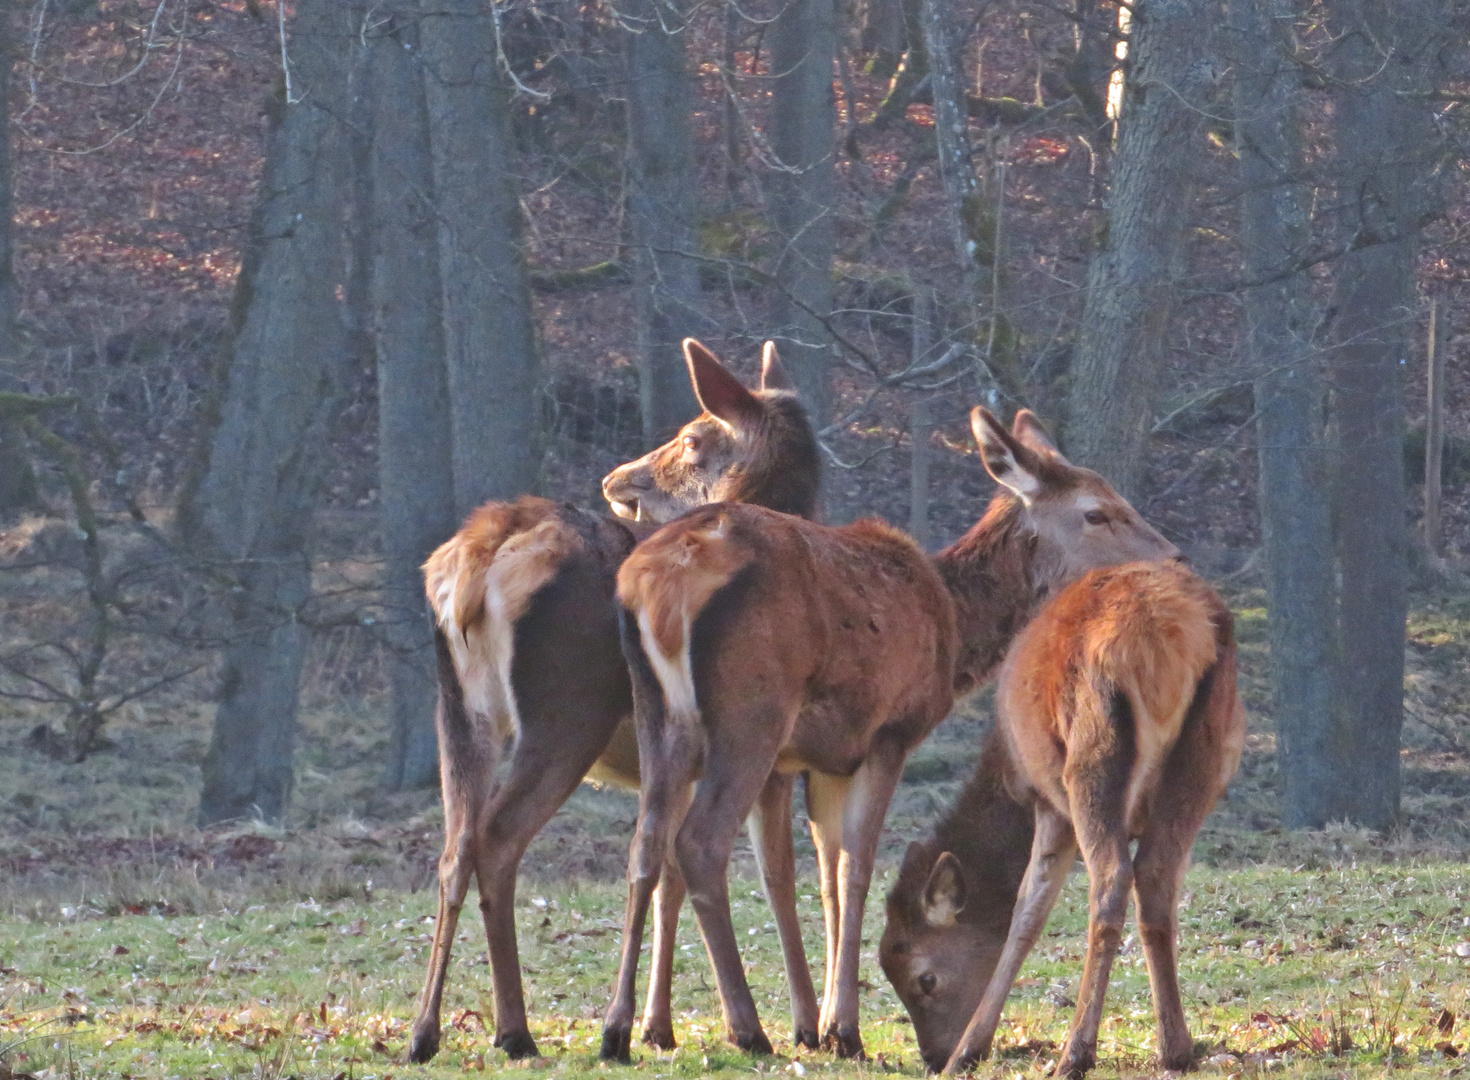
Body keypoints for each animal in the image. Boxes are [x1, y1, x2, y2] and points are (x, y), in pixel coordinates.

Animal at [411, 339, 829, 1063]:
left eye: (691, 438)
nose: (615, 480)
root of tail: (474, 562)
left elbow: (667, 876)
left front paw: (657, 1026)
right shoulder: (774, 759)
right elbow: (775, 877)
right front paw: (801, 1022)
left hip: (460, 711)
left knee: (454, 848)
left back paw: (428, 1031)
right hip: (565, 710)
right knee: (496, 838)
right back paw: (515, 1029)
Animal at [602, 408, 1176, 1057]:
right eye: (1097, 511)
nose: (1176, 557)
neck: (954, 629)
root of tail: (656, 586)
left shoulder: (825, 759)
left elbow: (824, 878)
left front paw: (824, 1022)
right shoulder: (889, 733)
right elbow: (856, 871)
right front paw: (843, 1030)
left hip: (659, 714)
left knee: (646, 845)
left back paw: (620, 1028)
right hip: (750, 716)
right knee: (698, 843)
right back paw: (747, 1028)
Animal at [876, 561, 1246, 1075]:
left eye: (924, 978)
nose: (933, 1056)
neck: (1007, 767)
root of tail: (1165, 631)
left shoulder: (1049, 805)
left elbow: (1026, 913)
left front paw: (972, 1048)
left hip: (1090, 755)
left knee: (1111, 881)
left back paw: (1075, 1052)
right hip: (1207, 749)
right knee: (1155, 878)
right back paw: (1176, 1047)